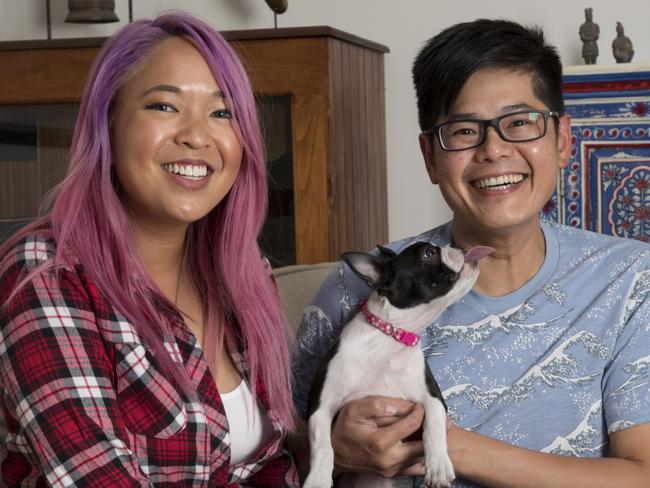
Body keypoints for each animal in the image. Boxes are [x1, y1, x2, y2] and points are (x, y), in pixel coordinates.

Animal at [302, 241, 488, 488]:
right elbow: (323, 445)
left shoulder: (432, 397)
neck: (390, 337)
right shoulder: (320, 406)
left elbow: (434, 426)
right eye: (428, 253)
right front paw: (318, 479)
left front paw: (438, 465)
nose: (459, 246)